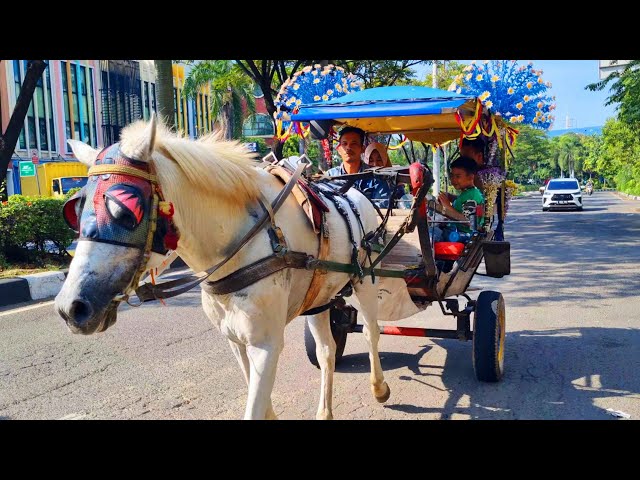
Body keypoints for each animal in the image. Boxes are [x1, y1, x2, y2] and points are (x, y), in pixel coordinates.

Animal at [55, 117, 390, 420]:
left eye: (125, 211)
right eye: (74, 210)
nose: (70, 307)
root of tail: (356, 192)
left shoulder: (266, 345)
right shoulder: (236, 342)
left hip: (365, 281)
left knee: (372, 330)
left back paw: (379, 387)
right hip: (318, 298)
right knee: (326, 350)